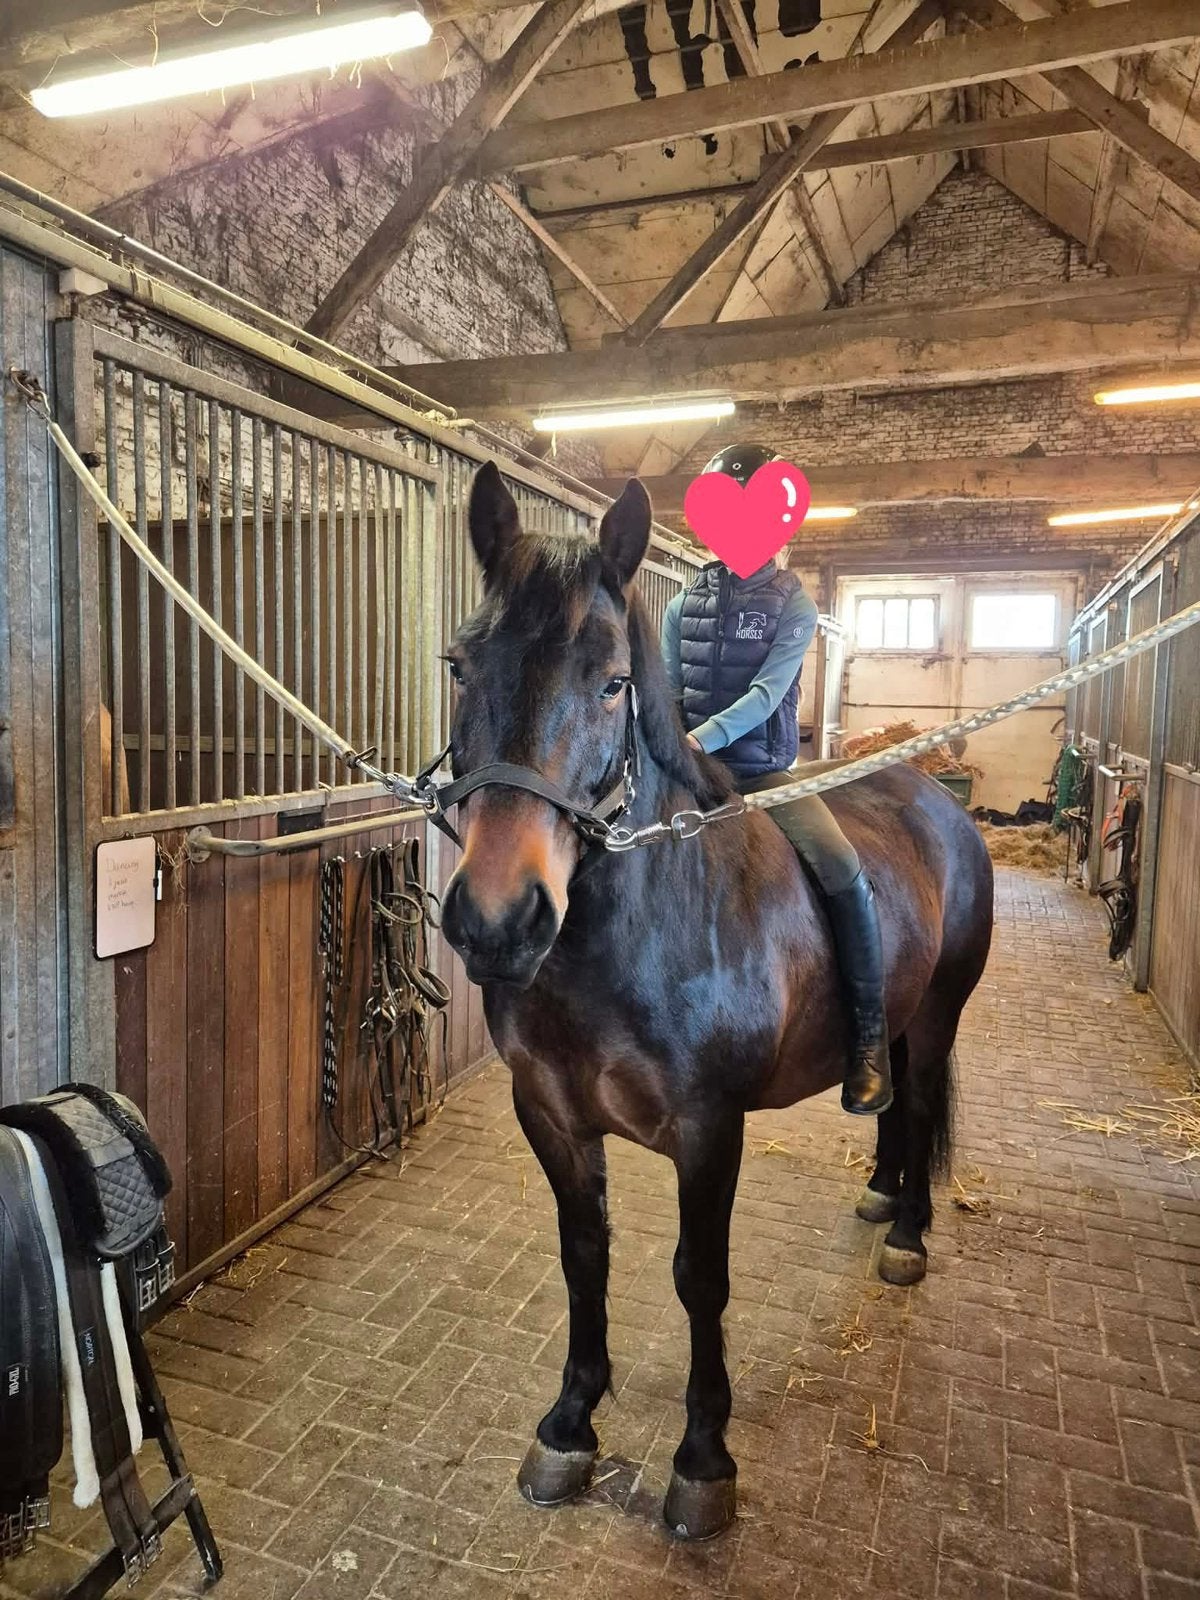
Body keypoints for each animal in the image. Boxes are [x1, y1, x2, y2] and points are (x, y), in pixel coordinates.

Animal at [438, 463, 994, 1540]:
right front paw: (569, 1426)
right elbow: (583, 1256)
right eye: (458, 666)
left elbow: (700, 1279)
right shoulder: (550, 1116)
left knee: (916, 1103)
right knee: (891, 1104)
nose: (497, 920)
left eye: (613, 681)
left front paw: (703, 1460)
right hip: (898, 1017)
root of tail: (935, 798)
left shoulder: (709, 1130)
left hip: (941, 1015)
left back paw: (907, 1236)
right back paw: (879, 1193)